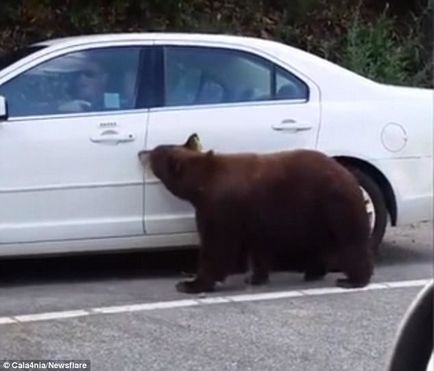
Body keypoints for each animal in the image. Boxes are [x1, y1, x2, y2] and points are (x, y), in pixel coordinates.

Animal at [138, 135, 372, 294]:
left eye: (154, 153)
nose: (141, 153)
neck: (204, 183)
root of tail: (348, 175)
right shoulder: (252, 215)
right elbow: (257, 244)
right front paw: (255, 277)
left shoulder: (220, 207)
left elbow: (217, 245)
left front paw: (190, 283)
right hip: (316, 215)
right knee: (319, 241)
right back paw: (313, 272)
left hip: (335, 205)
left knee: (351, 240)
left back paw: (352, 280)